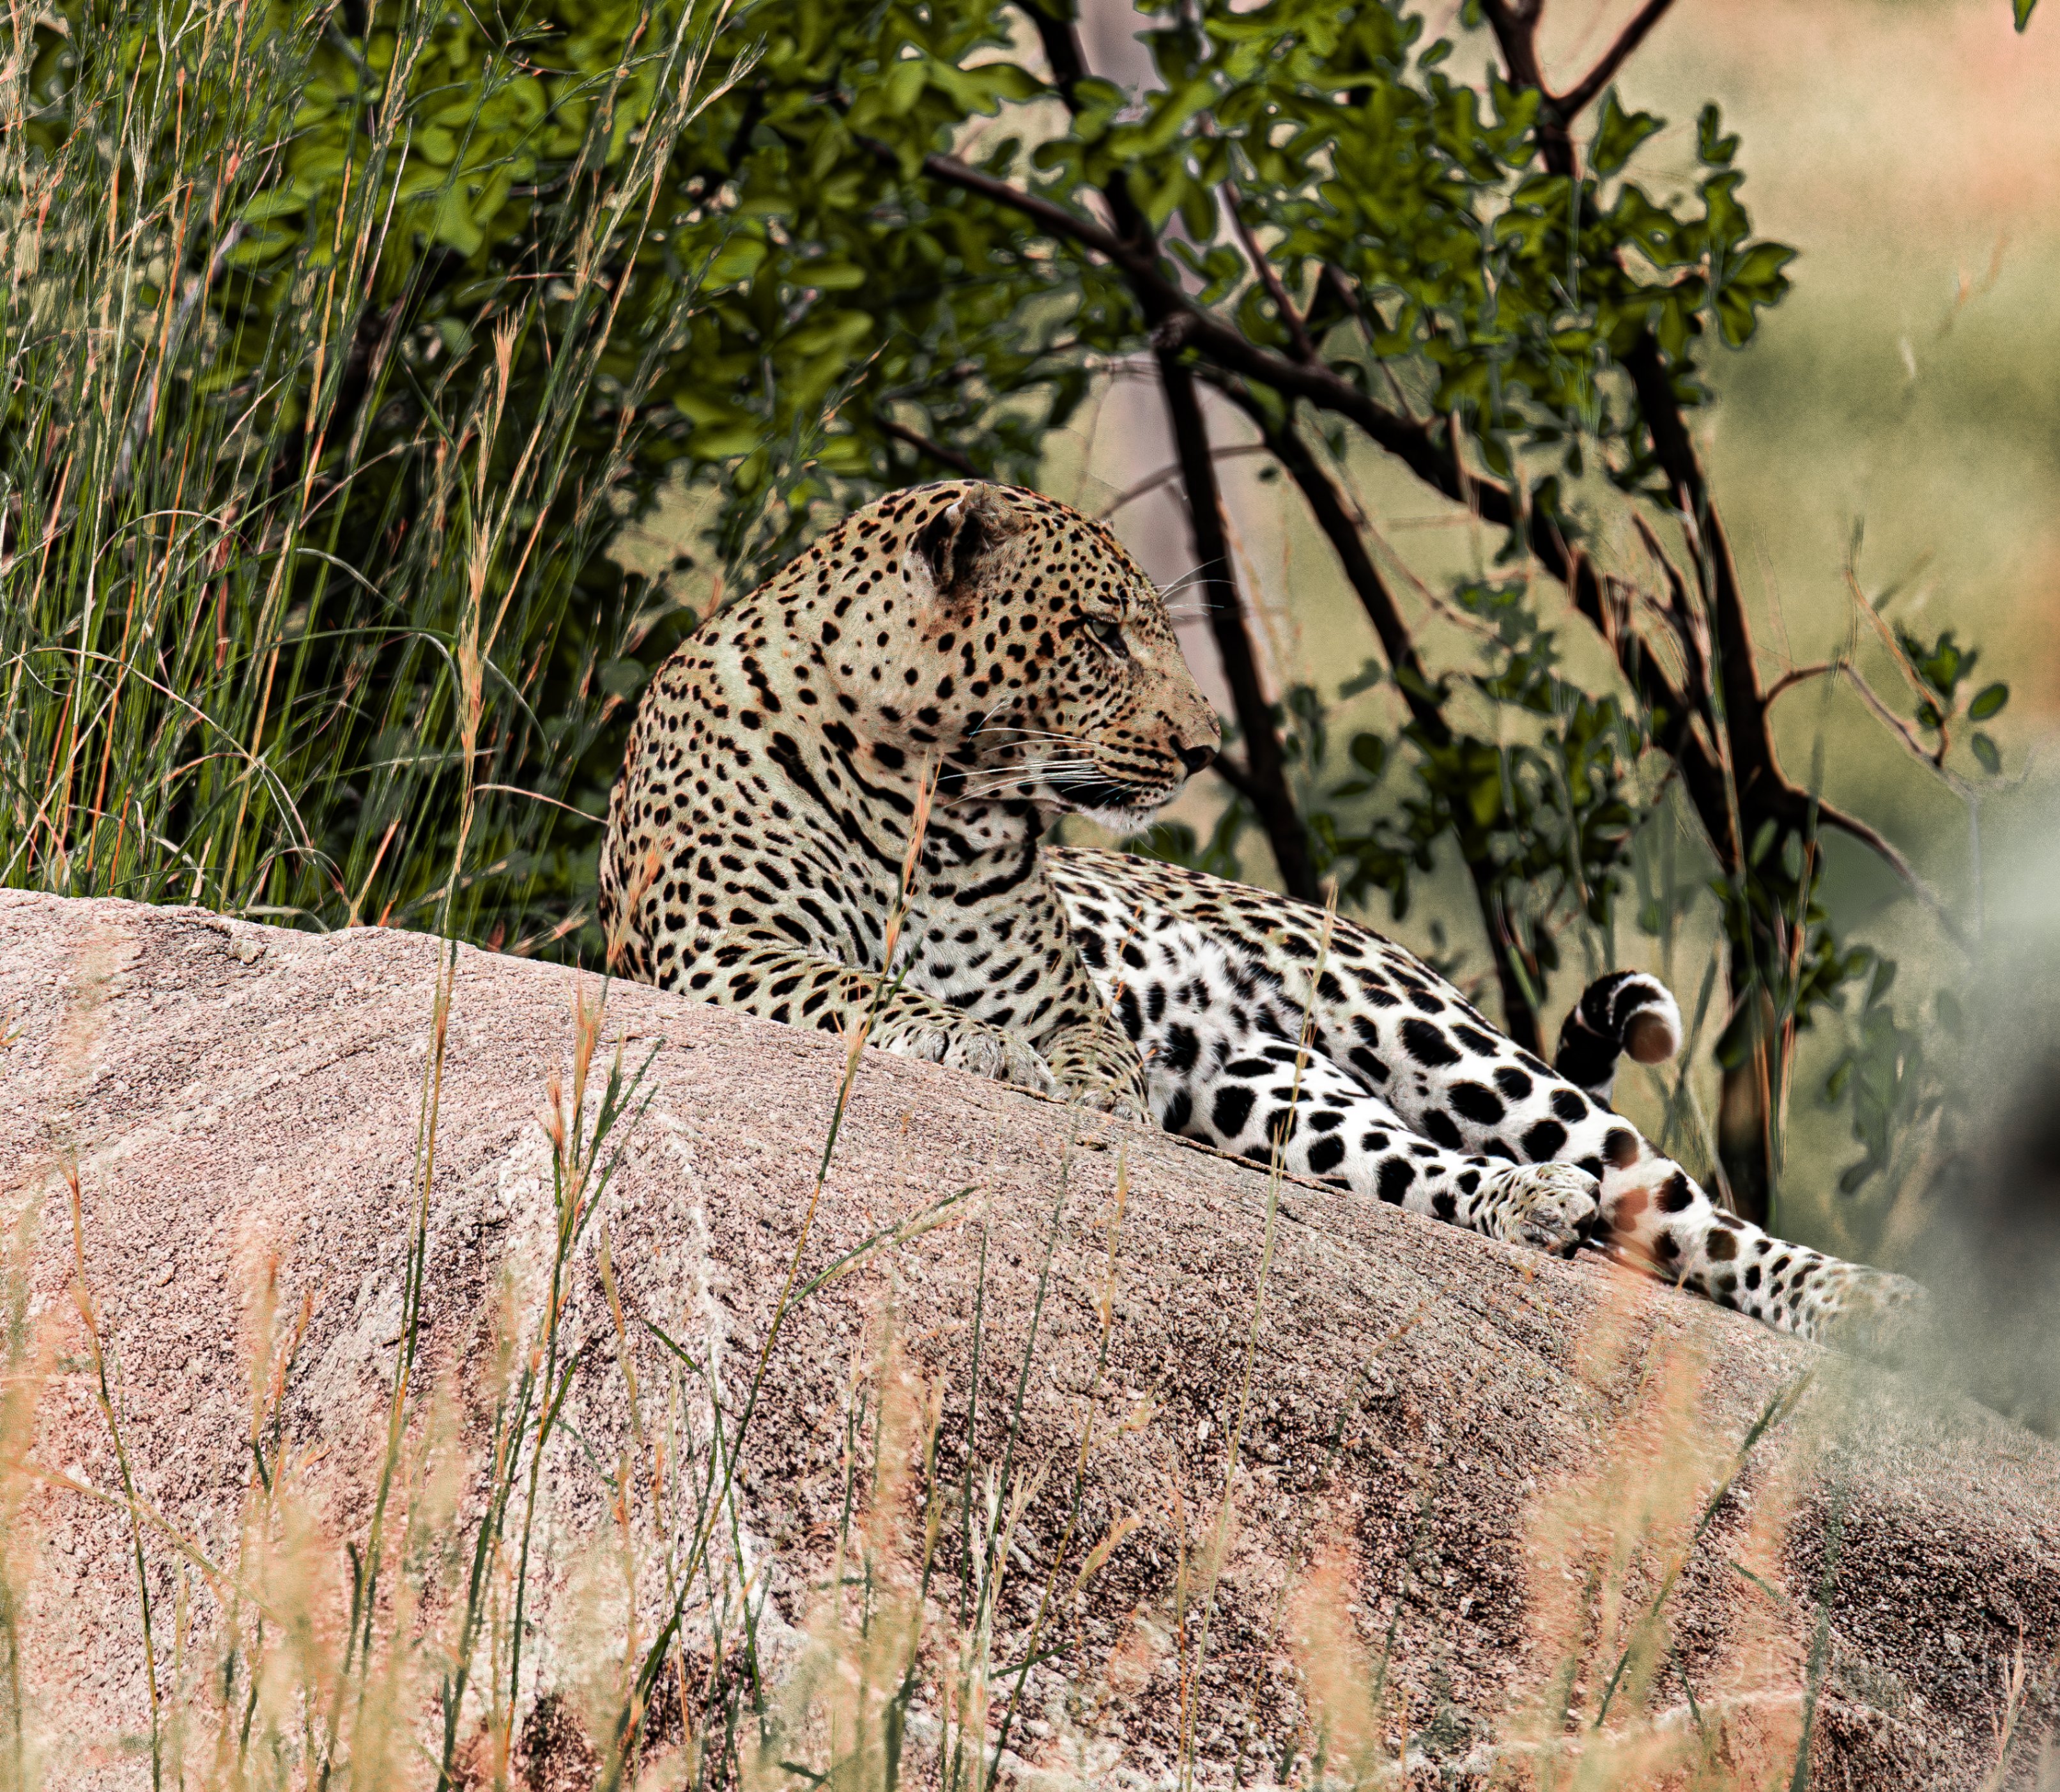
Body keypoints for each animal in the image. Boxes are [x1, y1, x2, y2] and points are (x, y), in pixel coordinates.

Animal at [600, 478, 1924, 1352]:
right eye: (1097, 635)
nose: (1200, 747)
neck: (934, 786)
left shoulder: (1066, 999)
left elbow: (1077, 1048)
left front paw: (1078, 1093)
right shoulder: (720, 949)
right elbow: (861, 983)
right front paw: (974, 1046)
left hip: (1443, 1045)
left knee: (1689, 1214)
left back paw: (1862, 1302)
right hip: (1269, 1095)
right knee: (1434, 1172)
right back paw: (1530, 1208)